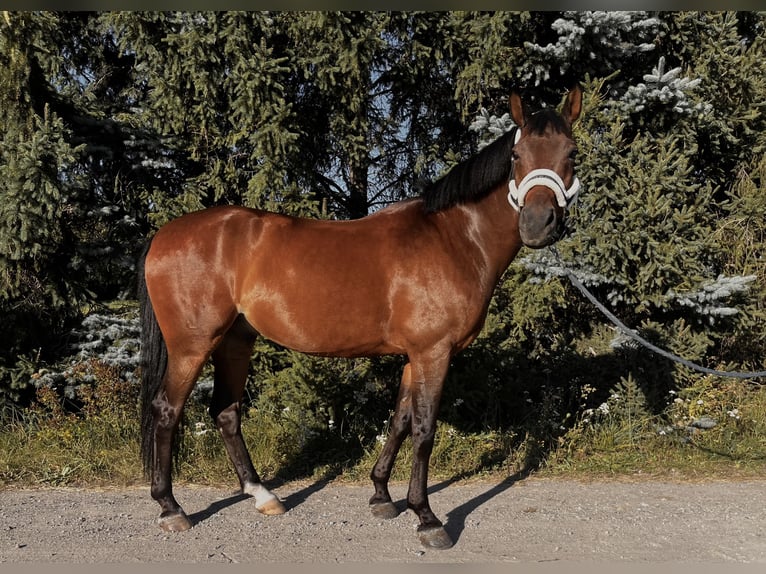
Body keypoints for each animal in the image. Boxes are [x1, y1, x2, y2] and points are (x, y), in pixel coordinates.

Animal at [136, 86, 584, 552]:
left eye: (572, 152)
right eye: (516, 155)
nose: (538, 223)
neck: (454, 237)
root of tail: (163, 235)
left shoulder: (415, 355)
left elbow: (399, 421)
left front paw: (382, 495)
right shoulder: (434, 352)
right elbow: (424, 429)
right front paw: (426, 518)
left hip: (235, 341)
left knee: (226, 412)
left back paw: (263, 496)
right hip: (192, 345)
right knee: (167, 410)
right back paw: (171, 508)